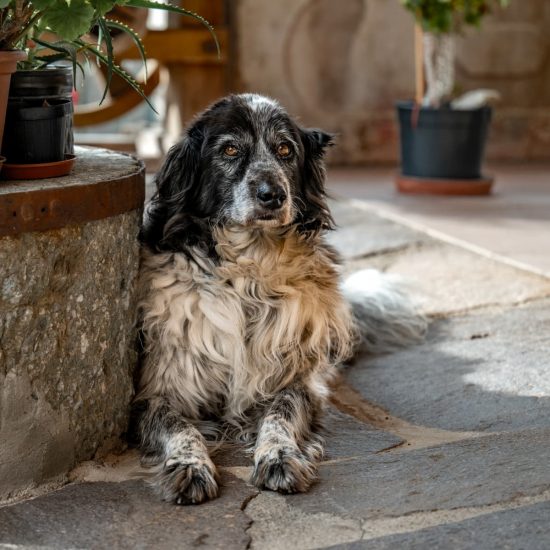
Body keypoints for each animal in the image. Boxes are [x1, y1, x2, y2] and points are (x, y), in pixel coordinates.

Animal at [135, 94, 426, 504]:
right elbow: (180, 428)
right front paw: (189, 466)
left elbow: (279, 417)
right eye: (230, 150)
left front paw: (279, 456)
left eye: (285, 150)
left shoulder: (295, 381)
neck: (247, 274)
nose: (273, 195)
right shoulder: (158, 392)